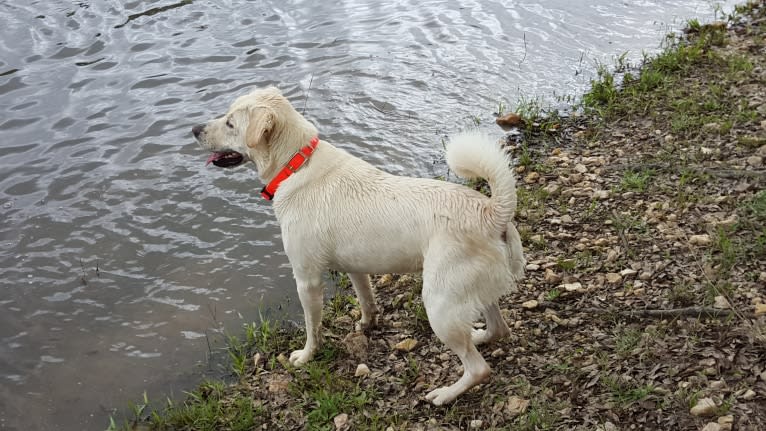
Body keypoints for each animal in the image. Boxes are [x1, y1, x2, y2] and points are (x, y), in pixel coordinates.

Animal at [194, 87, 528, 404]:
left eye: (230, 123)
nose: (195, 129)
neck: (296, 164)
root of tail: (492, 212)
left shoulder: (307, 280)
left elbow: (312, 328)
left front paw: (306, 356)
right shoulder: (356, 268)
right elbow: (367, 300)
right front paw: (367, 325)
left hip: (439, 303)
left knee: (479, 368)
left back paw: (445, 394)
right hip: (471, 290)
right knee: (498, 328)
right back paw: (479, 336)